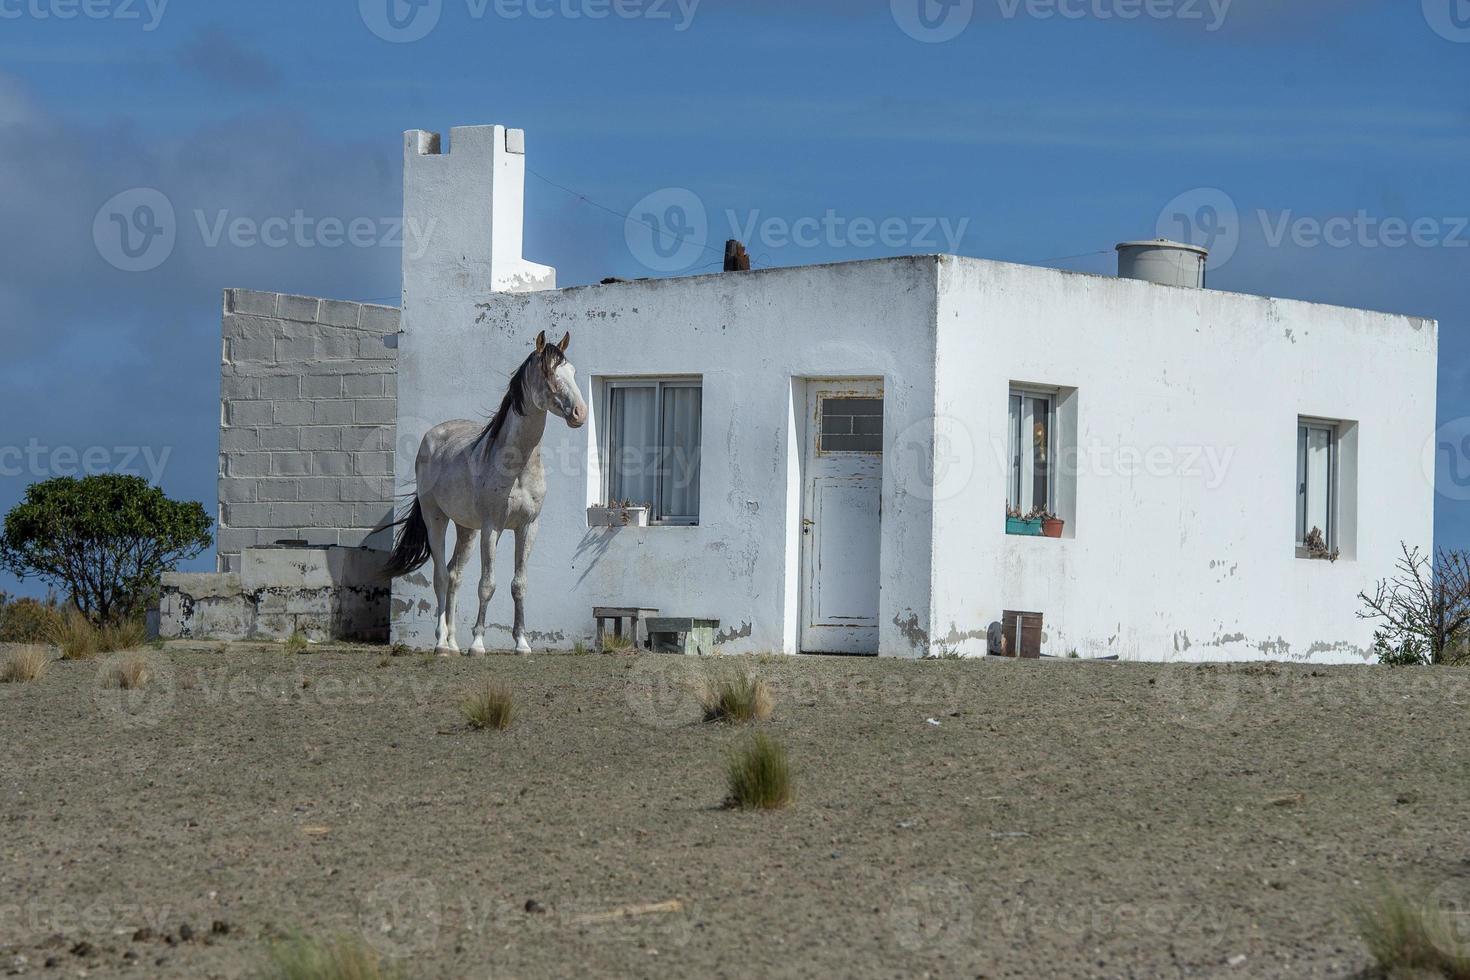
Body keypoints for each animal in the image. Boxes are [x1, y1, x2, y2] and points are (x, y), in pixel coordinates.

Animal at [388, 332, 588, 658]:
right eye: (547, 373)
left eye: (571, 371)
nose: (579, 414)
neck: (517, 465)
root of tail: (432, 438)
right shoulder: (492, 528)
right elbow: (487, 584)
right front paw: (478, 644)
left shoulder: (527, 527)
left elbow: (519, 584)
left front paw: (522, 644)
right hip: (436, 519)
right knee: (441, 576)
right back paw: (441, 644)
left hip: (466, 529)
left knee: (454, 576)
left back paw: (454, 644)